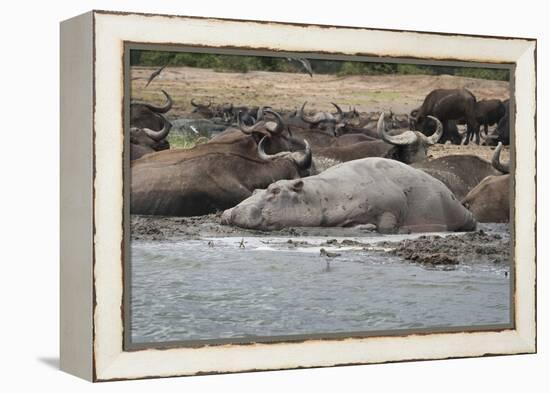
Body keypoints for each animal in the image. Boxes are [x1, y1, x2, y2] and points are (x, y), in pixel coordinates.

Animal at [222, 156, 476, 233]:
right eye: (257, 189)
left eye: (274, 190)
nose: (232, 211)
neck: (319, 196)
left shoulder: (390, 206)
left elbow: (386, 222)